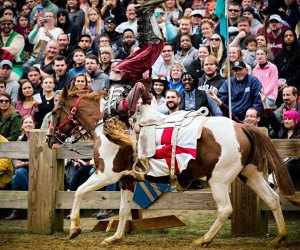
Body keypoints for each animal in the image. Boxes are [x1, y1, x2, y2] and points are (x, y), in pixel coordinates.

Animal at [47, 88, 300, 248]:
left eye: (55, 111)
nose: (50, 139)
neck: (109, 125)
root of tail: (242, 127)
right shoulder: (127, 179)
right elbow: (124, 210)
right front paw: (114, 238)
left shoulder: (107, 174)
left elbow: (79, 192)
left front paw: (74, 229)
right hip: (250, 174)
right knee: (272, 199)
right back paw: (279, 237)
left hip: (219, 180)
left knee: (225, 210)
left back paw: (203, 240)